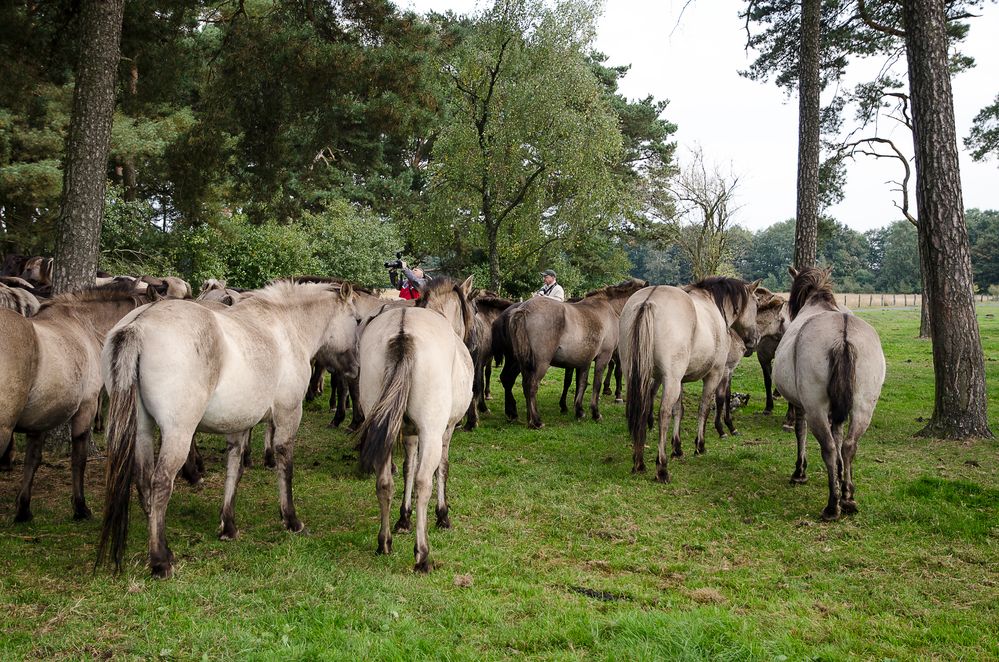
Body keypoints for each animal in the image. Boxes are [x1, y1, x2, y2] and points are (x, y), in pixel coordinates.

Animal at [96, 278, 360, 580]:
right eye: (357, 320)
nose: (355, 369)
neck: (286, 327)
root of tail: (139, 325)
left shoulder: (240, 425)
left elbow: (235, 468)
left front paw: (228, 525)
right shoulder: (288, 415)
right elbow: (285, 466)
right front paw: (291, 519)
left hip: (142, 430)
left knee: (143, 481)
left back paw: (163, 545)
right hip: (178, 433)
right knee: (160, 482)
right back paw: (161, 560)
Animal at [358, 278, 474, 572]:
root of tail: (402, 332)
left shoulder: (408, 432)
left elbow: (408, 467)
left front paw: (403, 518)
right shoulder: (445, 430)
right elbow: (441, 468)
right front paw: (442, 515)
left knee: (384, 481)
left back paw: (384, 542)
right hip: (432, 432)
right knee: (424, 482)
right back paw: (422, 554)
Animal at [496, 278, 652, 430]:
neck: (609, 309)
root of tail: (524, 309)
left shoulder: (585, 361)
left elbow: (582, 383)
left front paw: (579, 411)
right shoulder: (604, 357)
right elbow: (596, 384)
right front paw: (595, 413)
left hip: (521, 363)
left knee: (519, 383)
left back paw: (522, 416)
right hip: (540, 363)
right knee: (531, 385)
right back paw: (536, 421)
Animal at [616, 278, 764, 482]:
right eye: (757, 304)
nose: (755, 340)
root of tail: (647, 302)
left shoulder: (681, 381)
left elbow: (679, 411)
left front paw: (677, 448)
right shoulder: (714, 374)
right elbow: (704, 408)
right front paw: (700, 445)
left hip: (638, 376)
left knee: (642, 410)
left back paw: (639, 462)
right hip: (670, 379)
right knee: (663, 413)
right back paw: (661, 467)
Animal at [768, 268, 888, 520]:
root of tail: (843, 336)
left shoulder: (802, 406)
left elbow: (801, 433)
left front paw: (800, 471)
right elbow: (839, 435)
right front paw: (841, 476)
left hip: (816, 409)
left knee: (829, 448)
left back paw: (833, 505)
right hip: (863, 407)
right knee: (849, 445)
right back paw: (848, 497)